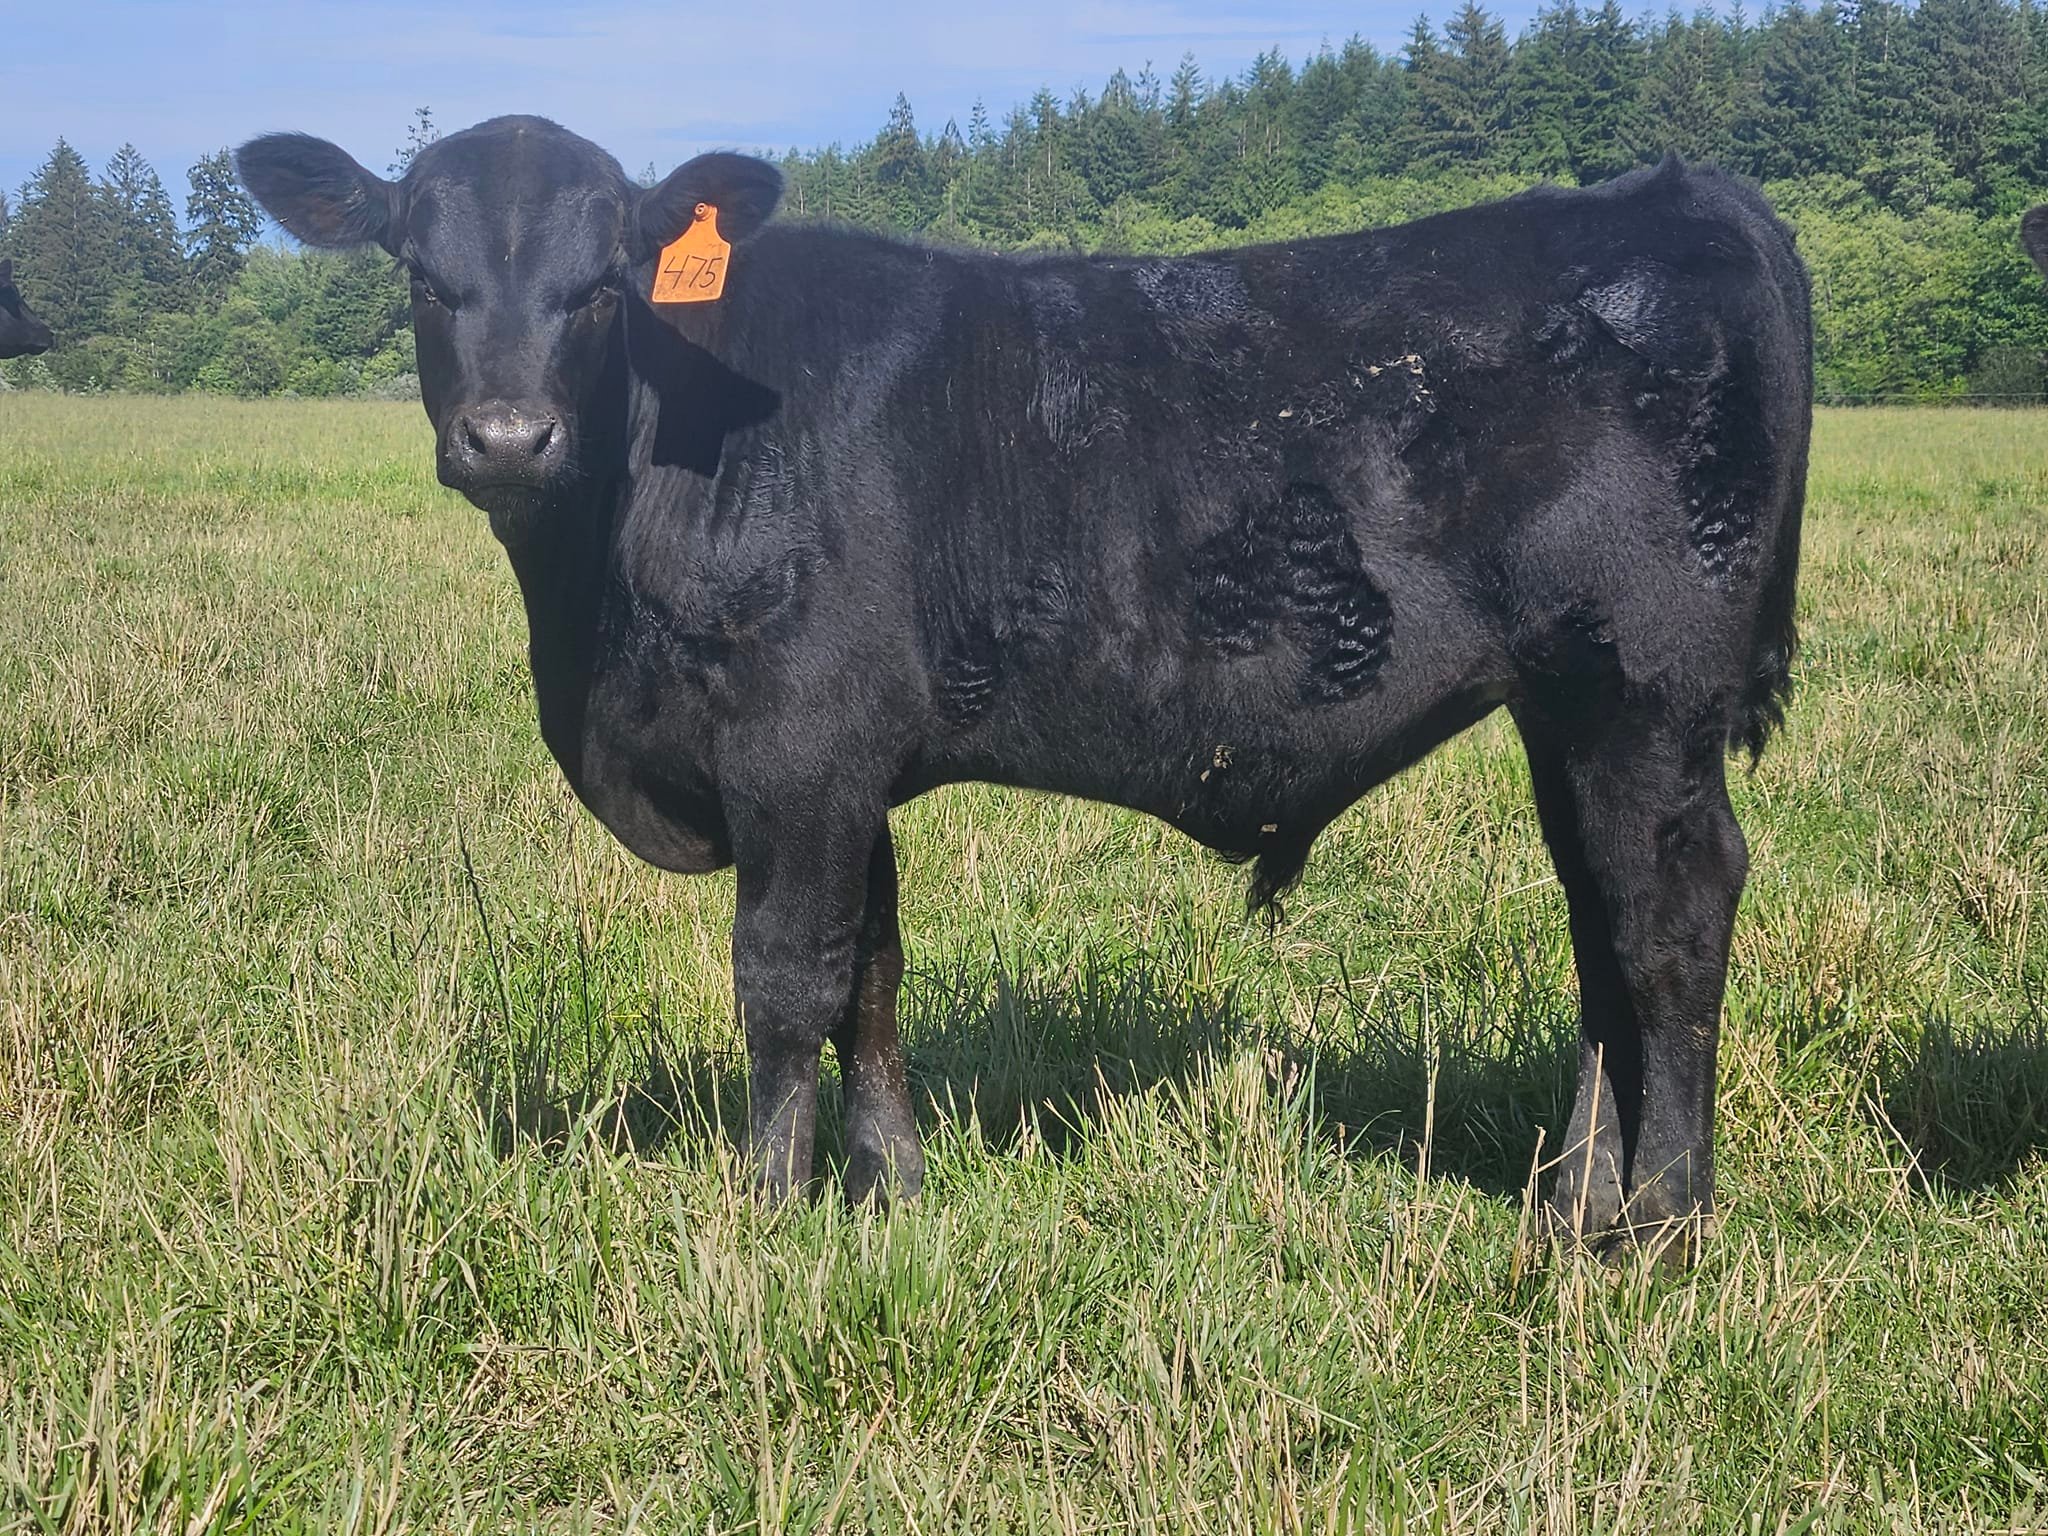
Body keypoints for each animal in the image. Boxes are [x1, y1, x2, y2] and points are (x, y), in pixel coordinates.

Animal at [236, 117, 1810, 1261]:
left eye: (603, 286)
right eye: (423, 277)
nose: (508, 438)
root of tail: (1679, 196)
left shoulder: (795, 750)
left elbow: (785, 978)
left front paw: (764, 1213)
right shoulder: (852, 766)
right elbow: (872, 971)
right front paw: (889, 1189)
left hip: (1647, 685)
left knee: (1670, 913)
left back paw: (1661, 1225)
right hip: (1567, 702)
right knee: (1600, 915)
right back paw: (1571, 1207)